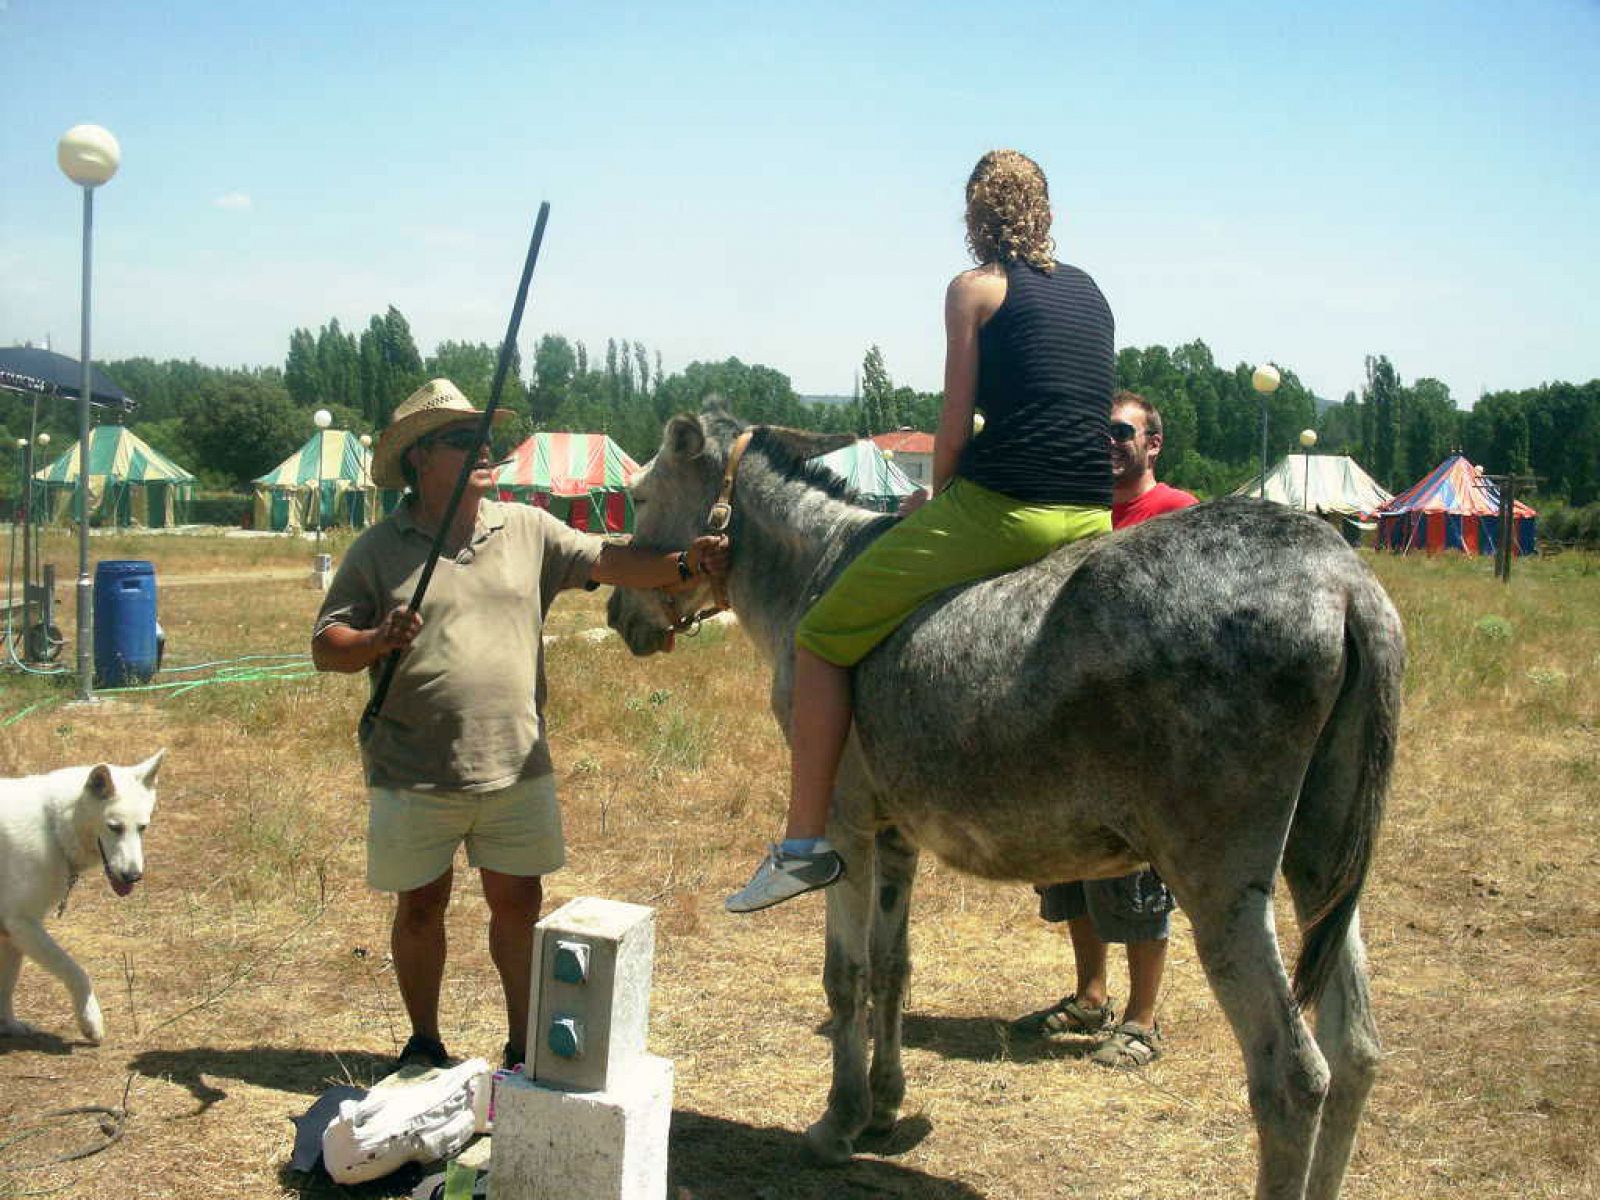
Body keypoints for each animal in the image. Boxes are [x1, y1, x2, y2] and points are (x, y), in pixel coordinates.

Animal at [0, 752, 164, 1043]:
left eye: (142, 828)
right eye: (114, 827)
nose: (133, 876)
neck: (53, 825)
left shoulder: (13, 932)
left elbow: (7, 984)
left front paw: (9, 1025)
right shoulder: (22, 925)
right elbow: (78, 972)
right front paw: (91, 1021)